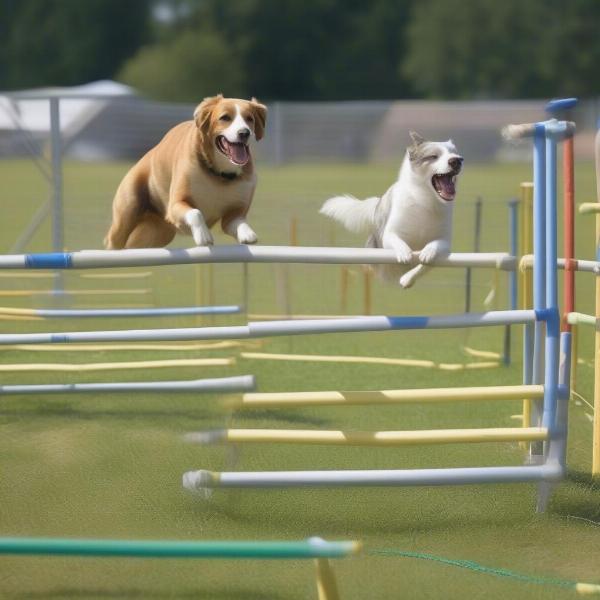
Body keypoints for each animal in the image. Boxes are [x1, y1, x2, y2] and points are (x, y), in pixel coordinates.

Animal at [103, 95, 268, 250]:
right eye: (225, 117)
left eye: (250, 119)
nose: (244, 133)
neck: (218, 174)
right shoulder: (176, 204)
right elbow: (196, 212)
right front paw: (204, 236)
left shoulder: (234, 212)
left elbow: (239, 222)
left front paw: (248, 235)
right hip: (128, 208)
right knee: (114, 240)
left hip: (159, 232)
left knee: (134, 246)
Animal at [322, 132, 462, 288]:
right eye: (433, 156)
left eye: (455, 153)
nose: (457, 160)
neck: (424, 201)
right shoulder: (389, 234)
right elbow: (398, 242)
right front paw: (405, 253)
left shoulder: (445, 242)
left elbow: (429, 255)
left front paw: (410, 274)